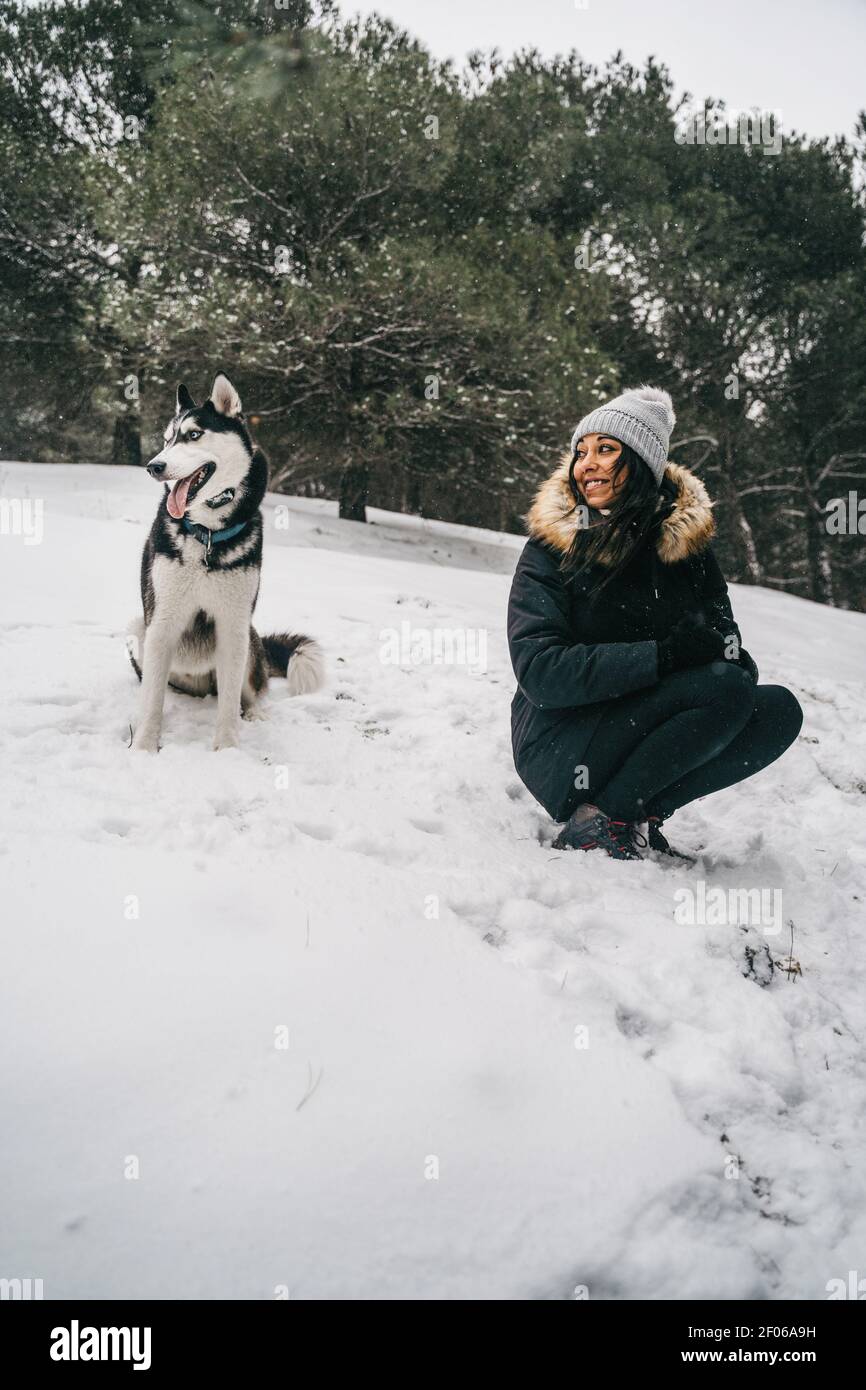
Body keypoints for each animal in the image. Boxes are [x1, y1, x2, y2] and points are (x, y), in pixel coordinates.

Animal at [130, 372, 326, 750]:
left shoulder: (233, 625)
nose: (153, 466)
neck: (205, 533)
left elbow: (230, 701)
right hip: (138, 630)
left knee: (246, 693)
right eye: (167, 439)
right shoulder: (161, 623)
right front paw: (144, 747)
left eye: (193, 435)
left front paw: (227, 749)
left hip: (249, 641)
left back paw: (255, 714)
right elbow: (151, 701)